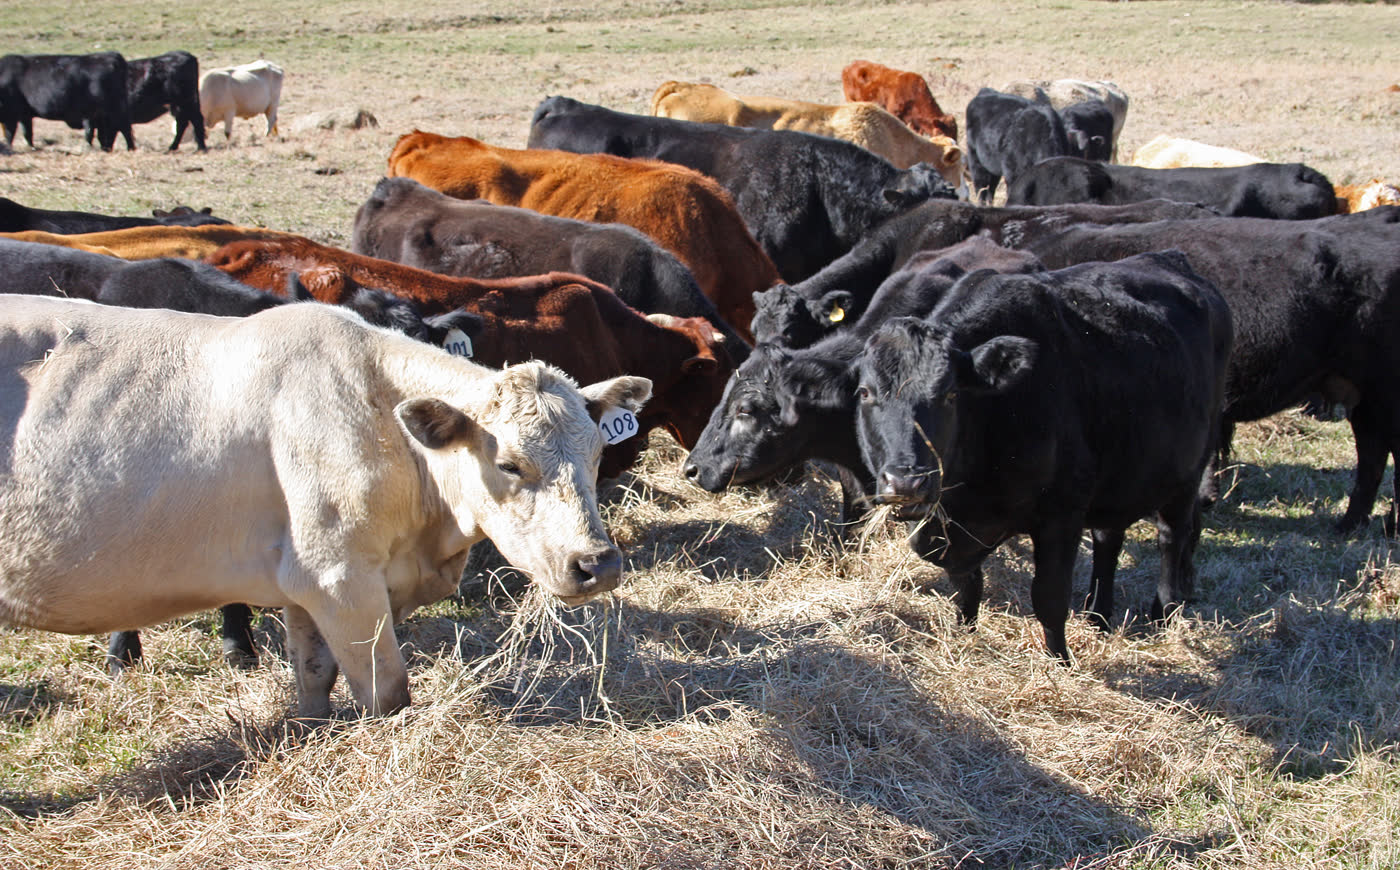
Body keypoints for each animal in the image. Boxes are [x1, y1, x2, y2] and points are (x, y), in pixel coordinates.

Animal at [0, 52, 135, 151]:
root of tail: (111, 56)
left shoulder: (11, 114)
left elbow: (9, 133)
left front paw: (9, 148)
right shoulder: (24, 115)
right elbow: (27, 133)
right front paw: (31, 147)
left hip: (112, 109)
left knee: (123, 127)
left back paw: (129, 148)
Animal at [0, 295, 650, 717]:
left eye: (597, 453)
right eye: (510, 464)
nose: (597, 564)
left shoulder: (304, 582)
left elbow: (313, 674)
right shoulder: (341, 577)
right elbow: (386, 693)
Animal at [853, 251, 1232, 660]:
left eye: (951, 394)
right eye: (864, 393)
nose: (908, 482)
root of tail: (1171, 259)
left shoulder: (1061, 515)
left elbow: (1049, 598)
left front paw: (1059, 661)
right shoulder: (949, 528)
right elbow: (966, 585)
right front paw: (963, 636)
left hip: (1190, 467)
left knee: (1171, 536)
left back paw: (1163, 613)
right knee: (1108, 539)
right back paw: (1098, 616)